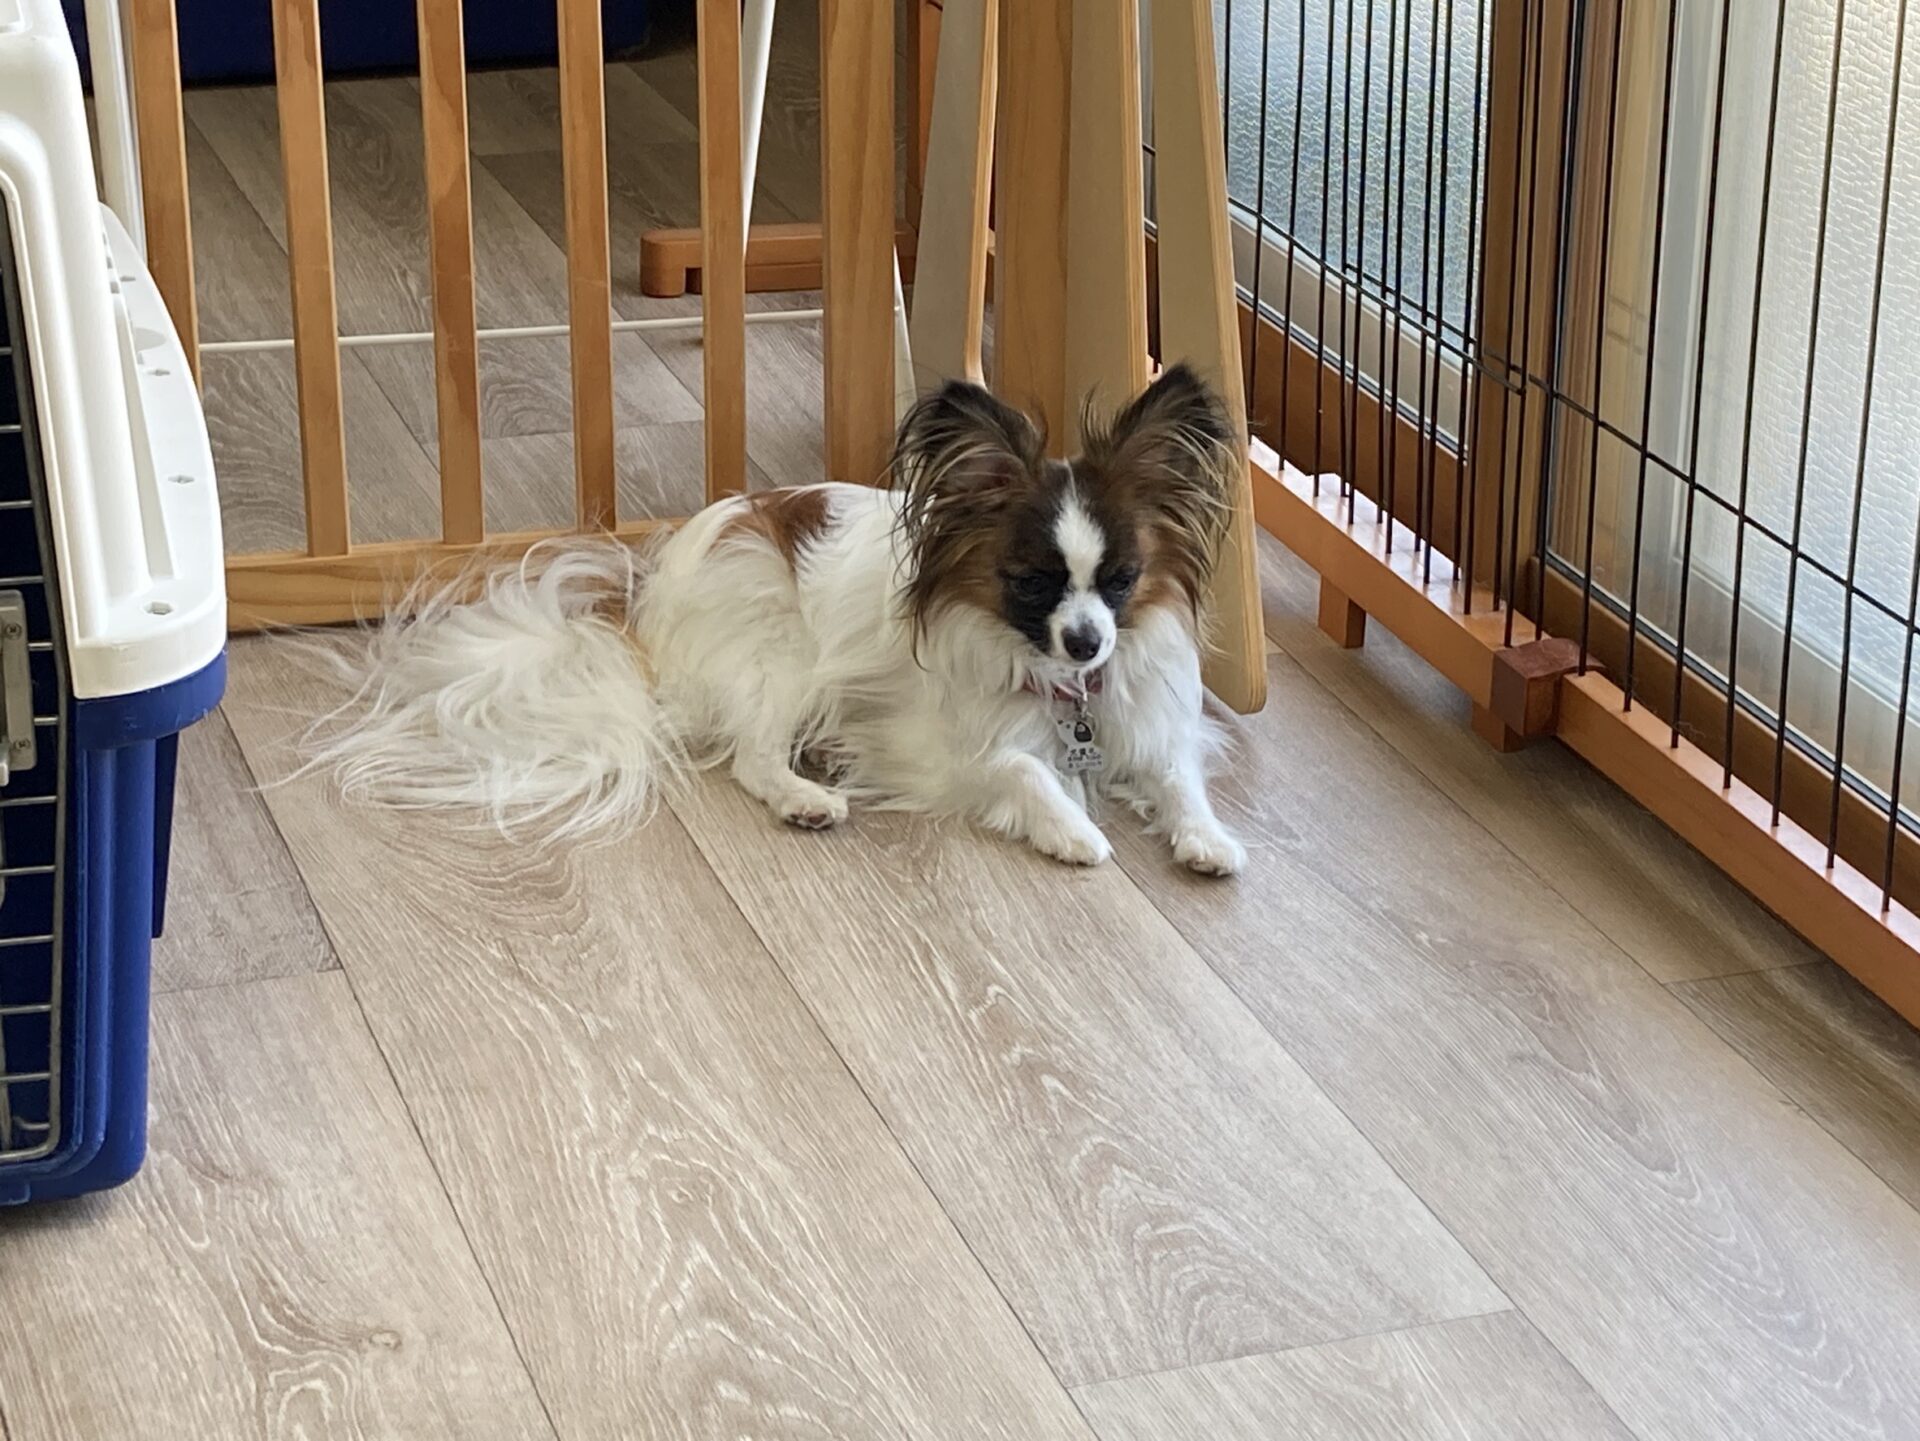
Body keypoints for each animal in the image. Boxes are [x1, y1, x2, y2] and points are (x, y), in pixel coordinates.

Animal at [305, 363, 1246, 874]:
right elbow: (1022, 770)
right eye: (1030, 584)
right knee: (754, 757)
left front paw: (1206, 839)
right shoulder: (938, 744)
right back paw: (804, 798)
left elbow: (1178, 779)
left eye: (1122, 581)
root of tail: (646, 611)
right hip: (778, 648)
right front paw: (1074, 830)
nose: (1087, 641)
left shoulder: (1152, 724)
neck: (1066, 688)